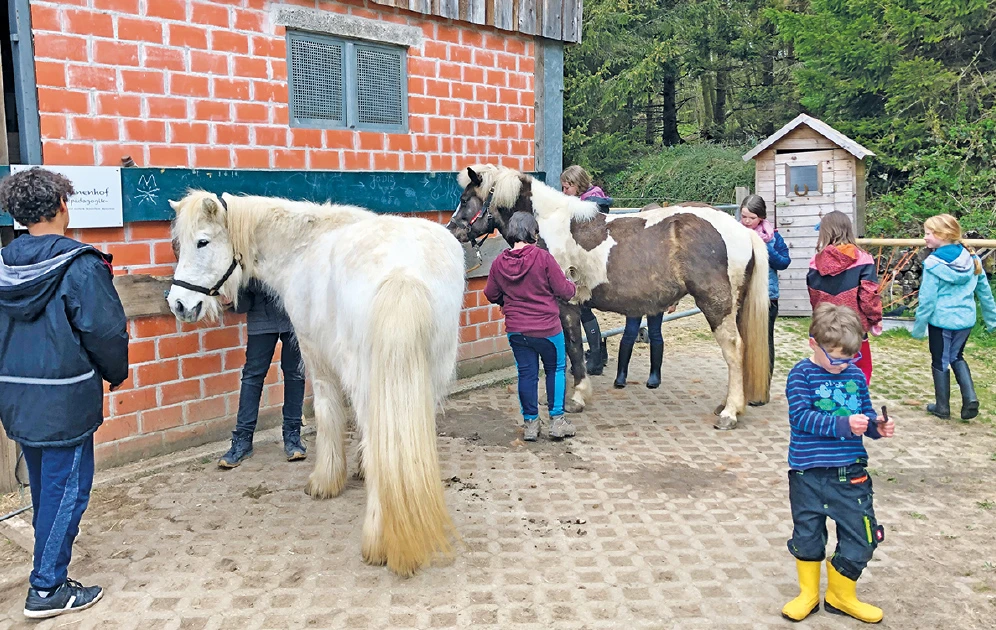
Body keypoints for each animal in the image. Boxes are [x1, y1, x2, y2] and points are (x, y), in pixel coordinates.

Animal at [165, 190, 465, 576]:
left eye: (202, 242)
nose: (179, 304)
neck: (303, 247)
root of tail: (403, 274)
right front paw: (359, 467)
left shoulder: (315, 357)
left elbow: (327, 413)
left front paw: (325, 480)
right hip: (430, 374)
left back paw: (377, 540)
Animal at [447, 165, 770, 429]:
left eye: (464, 200)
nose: (452, 230)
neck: (549, 224)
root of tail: (741, 231)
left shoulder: (566, 306)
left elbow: (573, 348)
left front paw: (576, 398)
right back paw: (727, 405)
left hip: (716, 307)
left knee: (733, 351)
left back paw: (729, 413)